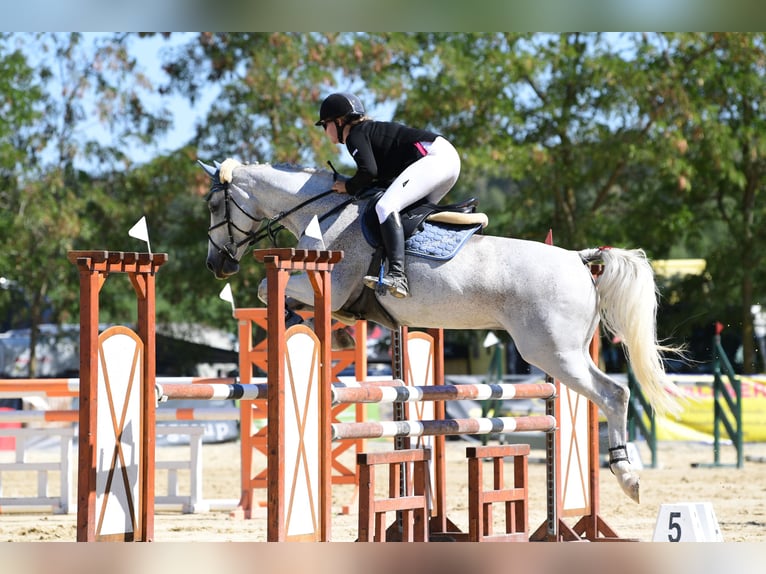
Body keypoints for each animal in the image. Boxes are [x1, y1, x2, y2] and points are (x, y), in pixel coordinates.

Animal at [199, 157, 681, 504]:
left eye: (214, 206)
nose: (216, 265)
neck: (323, 212)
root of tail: (579, 259)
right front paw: (327, 331)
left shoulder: (329, 287)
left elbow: (267, 288)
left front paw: (314, 328)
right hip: (569, 352)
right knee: (615, 392)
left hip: (553, 354)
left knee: (613, 394)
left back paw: (627, 475)